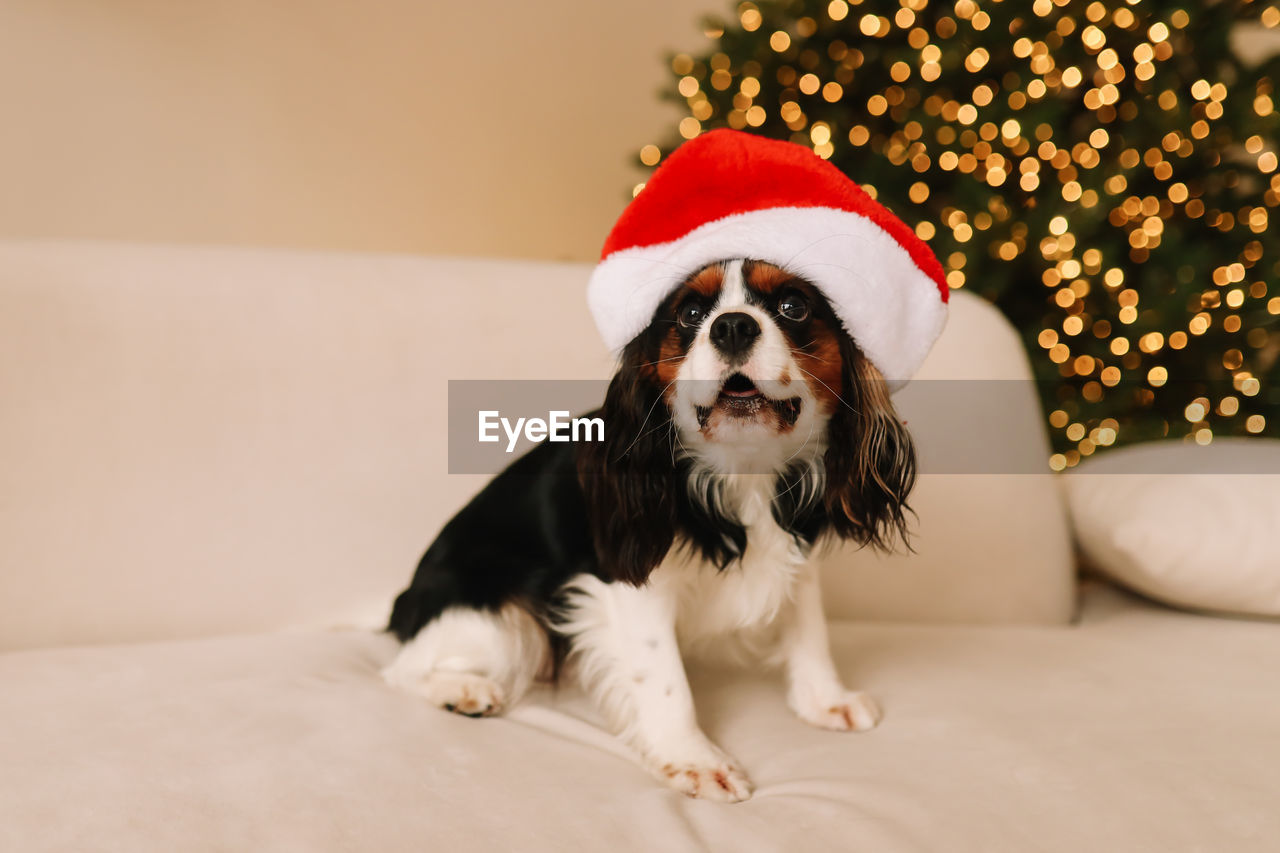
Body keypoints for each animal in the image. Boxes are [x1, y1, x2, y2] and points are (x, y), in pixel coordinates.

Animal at [381, 256, 921, 799]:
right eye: (690, 313)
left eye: (794, 306)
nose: (732, 325)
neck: (743, 470)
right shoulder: (629, 582)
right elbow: (664, 678)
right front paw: (694, 759)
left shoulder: (797, 553)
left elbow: (810, 626)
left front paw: (825, 699)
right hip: (500, 620)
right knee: (401, 668)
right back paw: (464, 688)